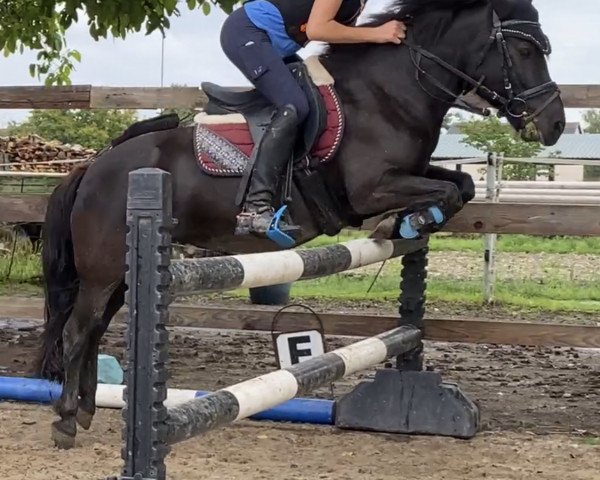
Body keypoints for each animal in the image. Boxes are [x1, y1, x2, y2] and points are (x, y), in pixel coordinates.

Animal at [36, 0, 564, 450]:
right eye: (525, 50)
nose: (553, 124)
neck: (390, 93)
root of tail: (95, 167)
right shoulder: (371, 190)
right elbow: (448, 193)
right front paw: (409, 222)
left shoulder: (411, 174)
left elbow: (462, 184)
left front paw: (410, 225)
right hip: (103, 270)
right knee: (78, 330)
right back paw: (65, 422)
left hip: (121, 275)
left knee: (96, 329)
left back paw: (86, 409)